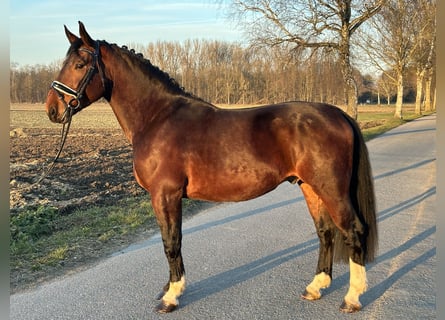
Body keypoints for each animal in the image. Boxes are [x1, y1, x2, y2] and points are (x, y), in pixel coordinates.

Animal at [45, 21, 376, 314]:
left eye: (79, 64)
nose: (52, 109)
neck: (158, 118)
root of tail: (339, 115)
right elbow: (170, 242)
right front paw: (168, 288)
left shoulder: (165, 195)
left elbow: (171, 243)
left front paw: (172, 296)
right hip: (310, 186)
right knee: (325, 232)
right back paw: (315, 287)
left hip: (331, 189)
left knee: (354, 230)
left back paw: (352, 298)